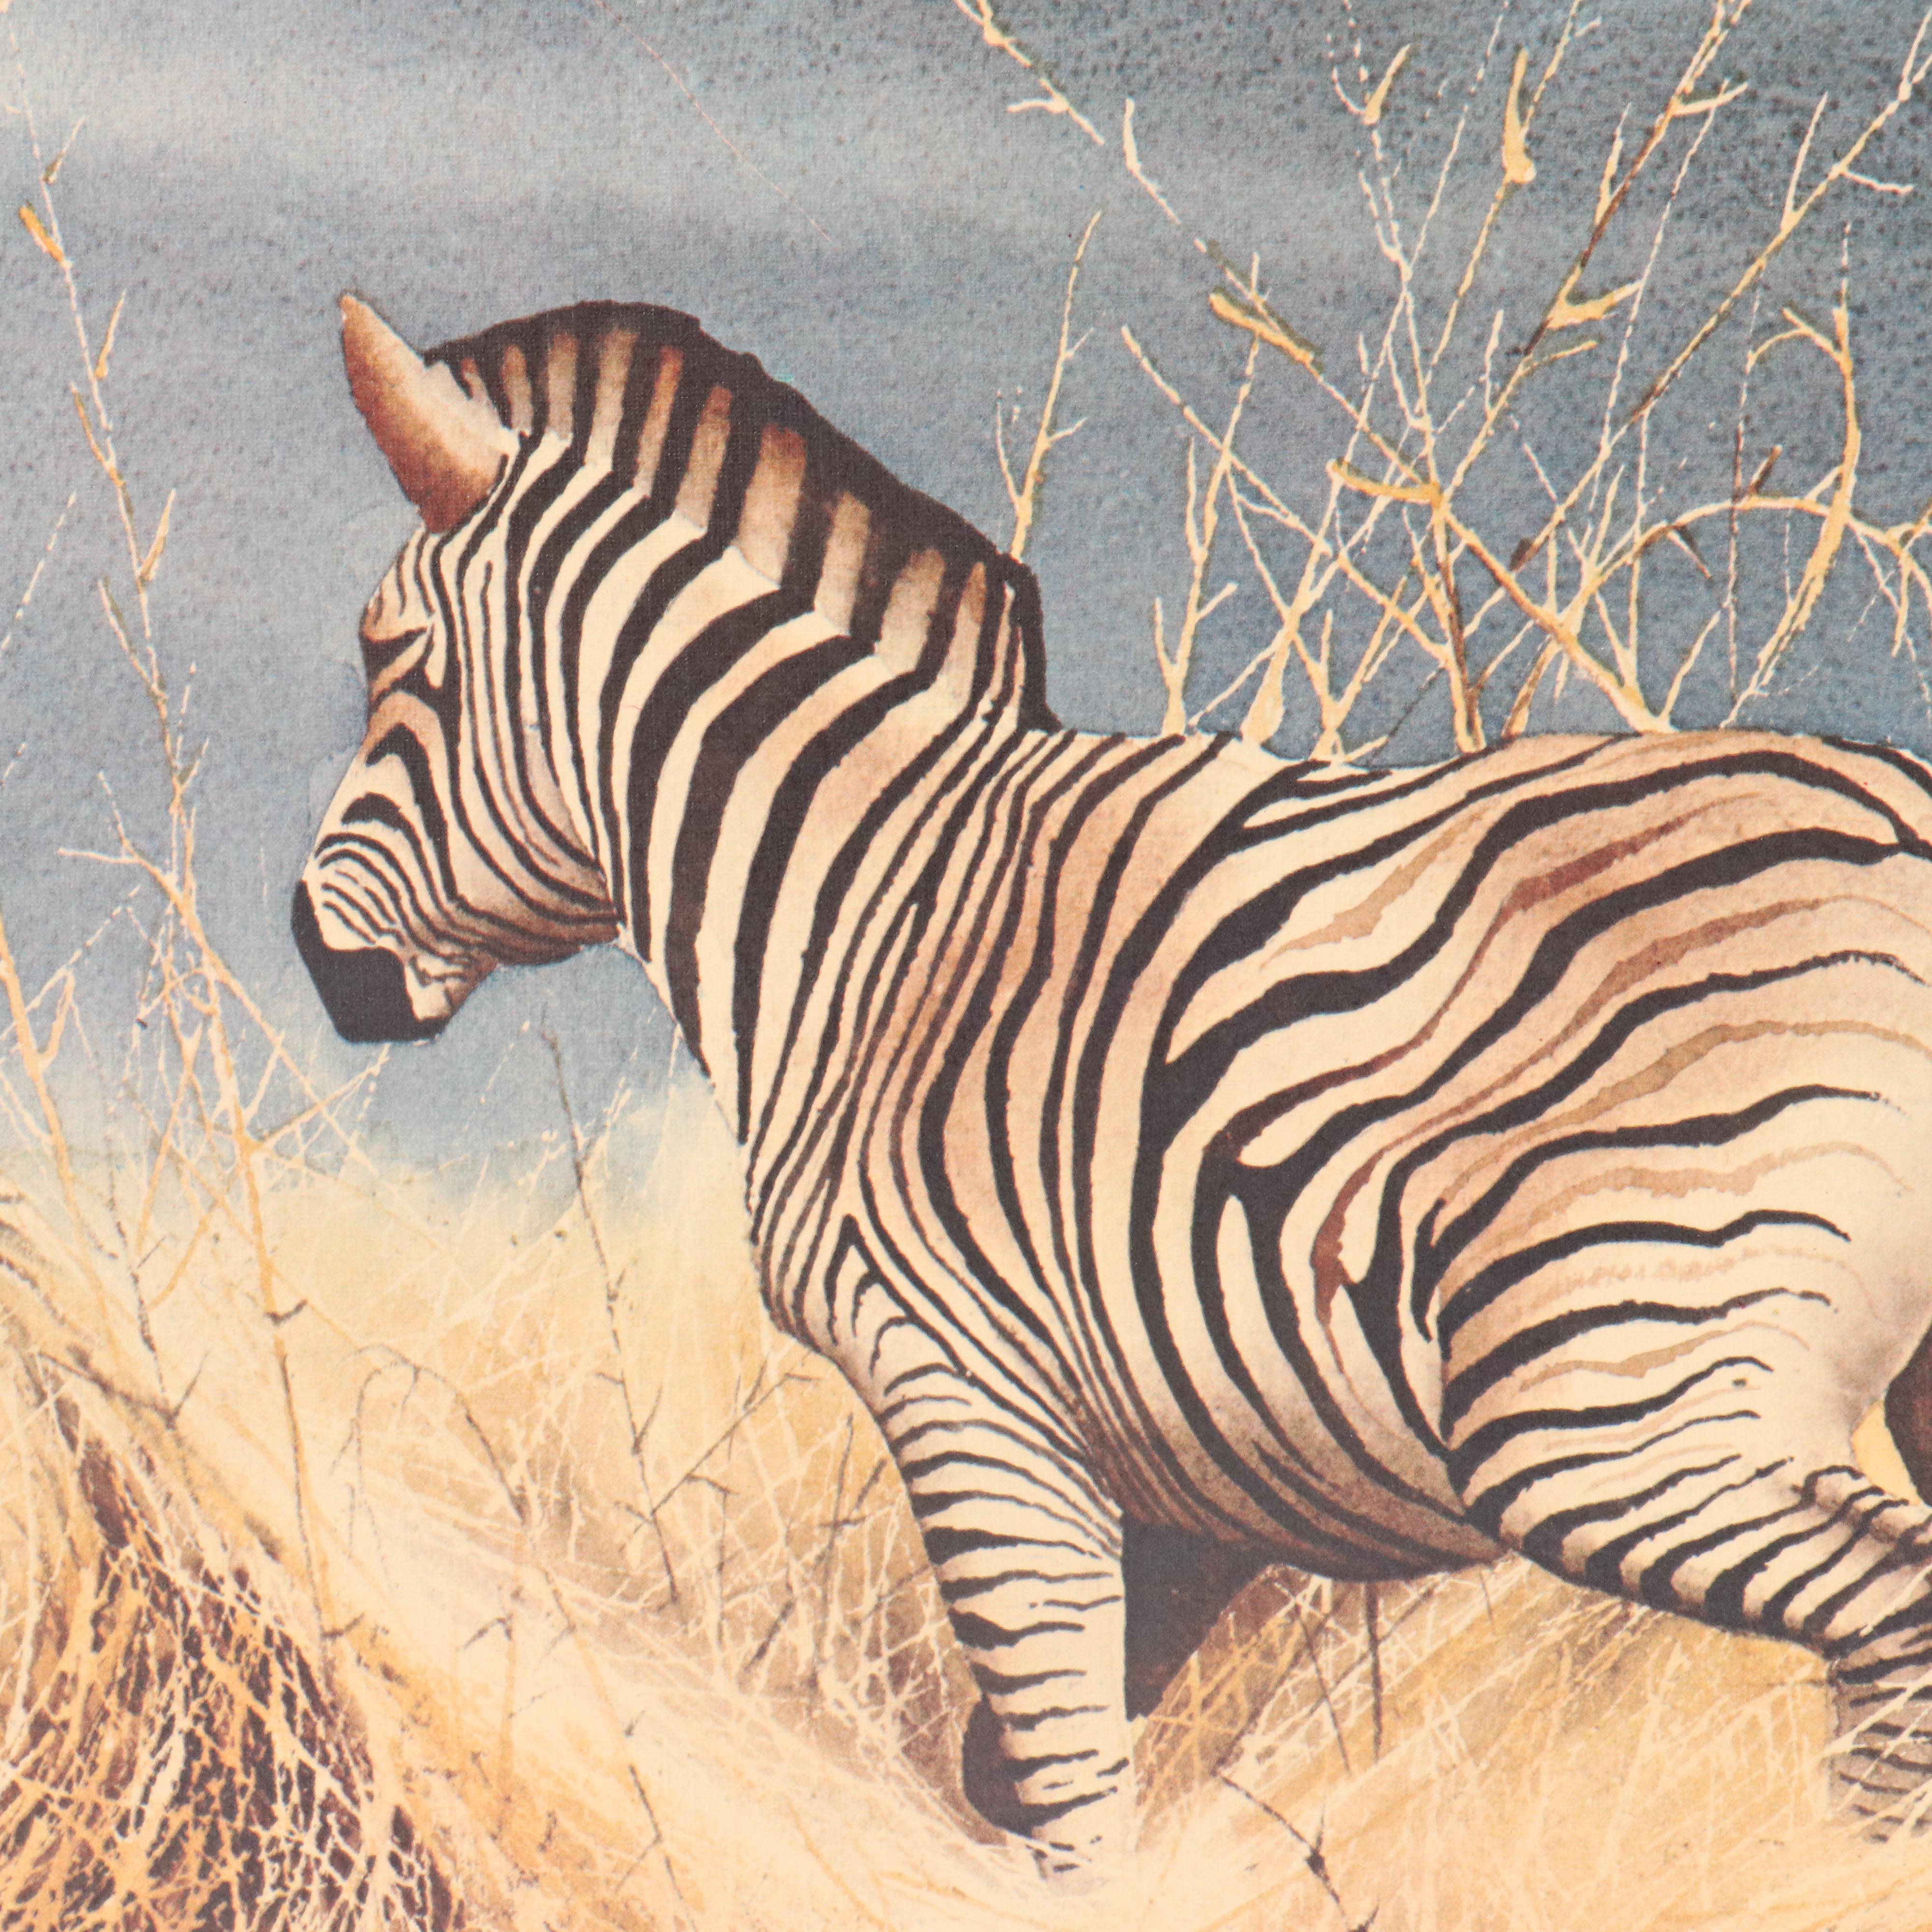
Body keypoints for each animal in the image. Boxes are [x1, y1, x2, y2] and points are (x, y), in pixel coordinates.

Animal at [297, 292, 1932, 1875]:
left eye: (394, 666)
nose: (320, 964)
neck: (868, 905)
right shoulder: (1182, 1468)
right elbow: (1027, 1770)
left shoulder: (968, 1392)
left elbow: (1067, 1786)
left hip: (1603, 1387)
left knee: (1894, 1620)